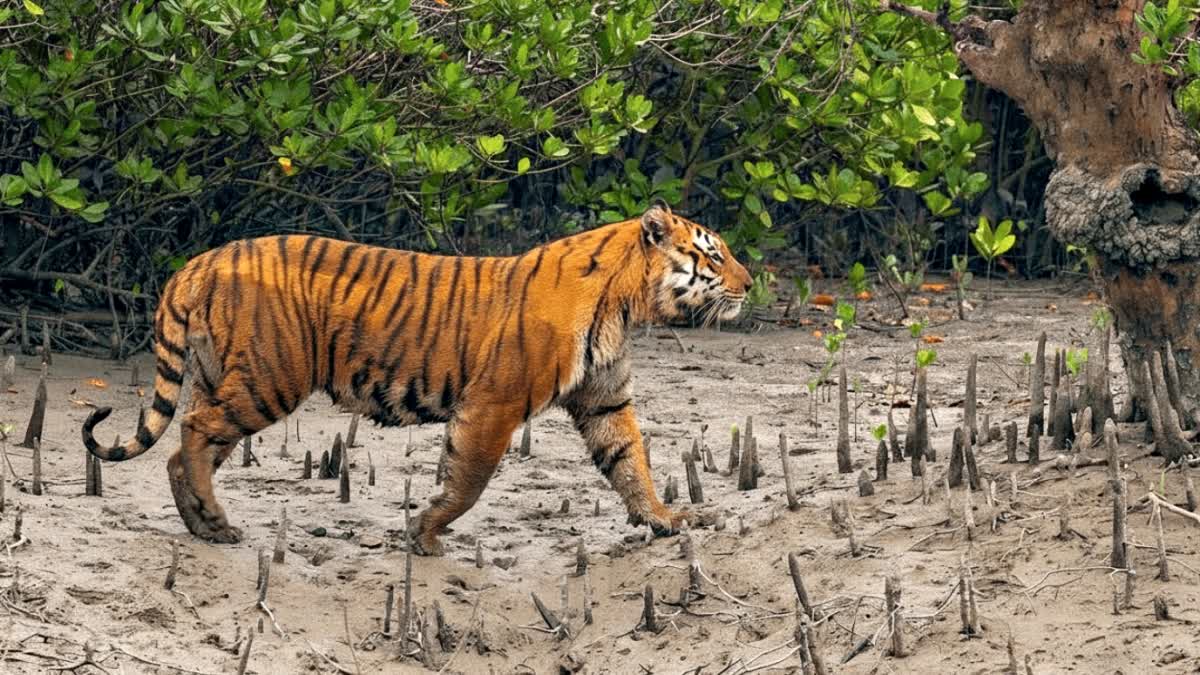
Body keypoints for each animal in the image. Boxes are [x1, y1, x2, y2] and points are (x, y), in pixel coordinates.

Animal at [82, 200, 752, 555]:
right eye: (713, 254)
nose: (750, 285)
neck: (624, 305)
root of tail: (196, 262)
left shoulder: (604, 400)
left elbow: (630, 462)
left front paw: (667, 520)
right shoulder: (494, 404)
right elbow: (470, 479)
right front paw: (426, 534)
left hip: (221, 377)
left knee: (183, 448)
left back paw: (203, 525)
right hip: (269, 379)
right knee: (193, 433)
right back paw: (217, 524)